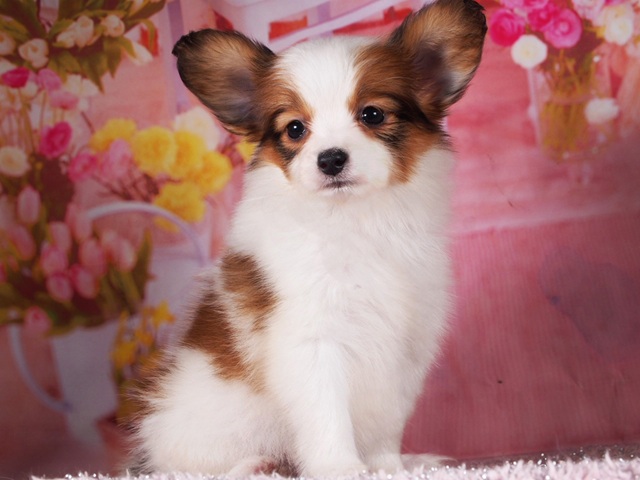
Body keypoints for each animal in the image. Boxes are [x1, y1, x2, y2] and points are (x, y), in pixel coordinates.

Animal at [130, 0, 486, 475]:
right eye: (295, 129)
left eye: (372, 114)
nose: (331, 158)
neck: (355, 220)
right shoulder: (312, 342)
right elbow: (327, 417)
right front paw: (341, 469)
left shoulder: (406, 343)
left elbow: (387, 420)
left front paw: (389, 466)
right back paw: (254, 466)